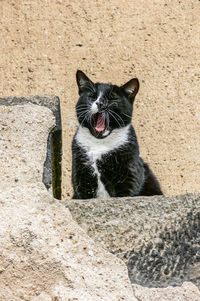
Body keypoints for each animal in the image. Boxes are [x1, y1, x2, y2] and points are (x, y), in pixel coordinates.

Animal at [71, 69, 162, 198]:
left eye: (112, 98)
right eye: (92, 97)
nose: (100, 103)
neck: (99, 143)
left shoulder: (130, 174)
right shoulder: (81, 175)